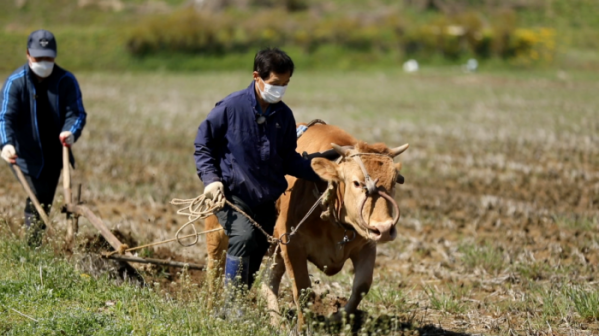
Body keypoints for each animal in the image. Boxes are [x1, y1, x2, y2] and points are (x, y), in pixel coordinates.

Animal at [204, 123, 410, 326]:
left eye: (393, 182)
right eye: (357, 183)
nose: (384, 229)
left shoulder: (366, 245)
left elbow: (361, 286)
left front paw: (336, 318)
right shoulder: (292, 246)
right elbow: (302, 290)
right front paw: (304, 327)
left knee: (267, 280)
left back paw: (277, 322)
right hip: (217, 231)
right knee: (215, 269)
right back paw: (213, 310)